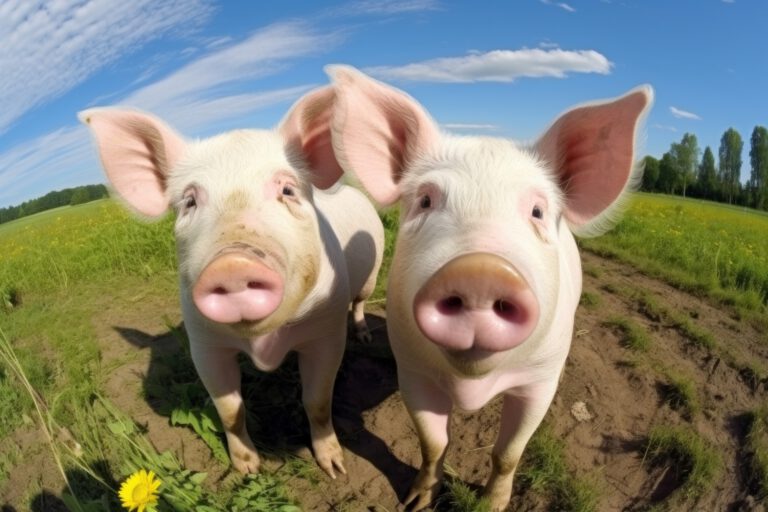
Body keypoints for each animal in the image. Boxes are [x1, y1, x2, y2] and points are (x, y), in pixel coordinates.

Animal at [79, 86, 384, 479]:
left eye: (287, 190)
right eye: (189, 201)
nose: (232, 263)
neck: (263, 346)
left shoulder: (326, 332)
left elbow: (317, 401)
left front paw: (335, 468)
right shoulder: (204, 343)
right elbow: (228, 410)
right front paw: (247, 469)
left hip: (372, 275)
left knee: (359, 302)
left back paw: (364, 336)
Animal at [327, 66, 652, 510]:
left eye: (537, 211)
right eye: (425, 200)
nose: (480, 271)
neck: (471, 383)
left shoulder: (540, 380)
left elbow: (508, 453)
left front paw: (491, 504)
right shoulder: (412, 369)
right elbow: (433, 443)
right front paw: (415, 502)